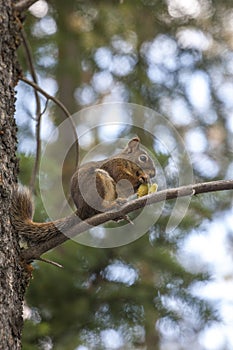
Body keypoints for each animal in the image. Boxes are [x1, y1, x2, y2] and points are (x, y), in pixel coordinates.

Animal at [11, 135, 156, 245]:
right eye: (143, 158)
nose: (154, 174)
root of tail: (82, 208)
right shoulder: (115, 167)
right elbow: (124, 179)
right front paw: (142, 178)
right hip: (98, 183)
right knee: (99, 206)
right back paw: (112, 205)